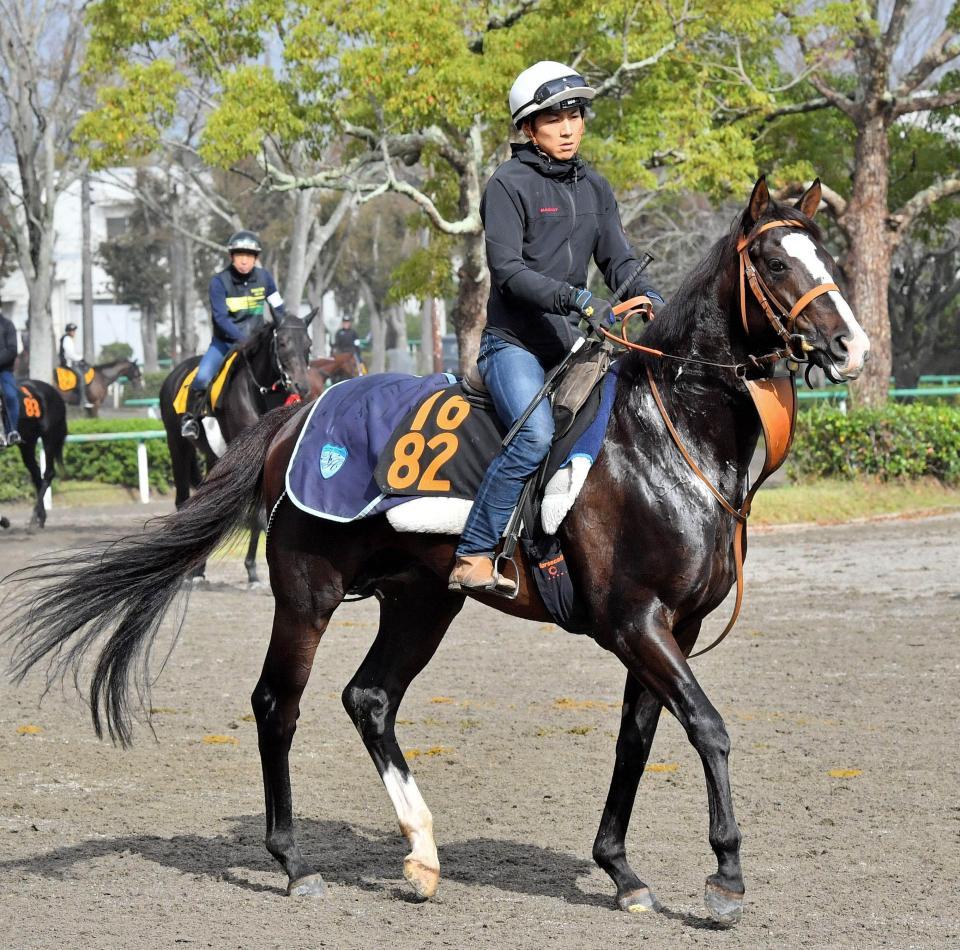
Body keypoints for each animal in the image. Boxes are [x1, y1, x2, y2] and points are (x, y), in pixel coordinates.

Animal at [0, 384, 67, 532]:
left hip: (49, 437)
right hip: (28, 443)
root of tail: (55, 392)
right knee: (36, 475)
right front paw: (3, 520)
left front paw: (4, 521)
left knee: (48, 474)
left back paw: (34, 518)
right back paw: (40, 518)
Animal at [156, 316, 310, 588]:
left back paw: (199, 570)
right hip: (177, 444)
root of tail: (176, 371)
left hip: (212, 457)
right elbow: (258, 516)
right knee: (183, 499)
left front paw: (252, 572)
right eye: (282, 343)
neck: (260, 395)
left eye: (309, 345)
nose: (301, 385)